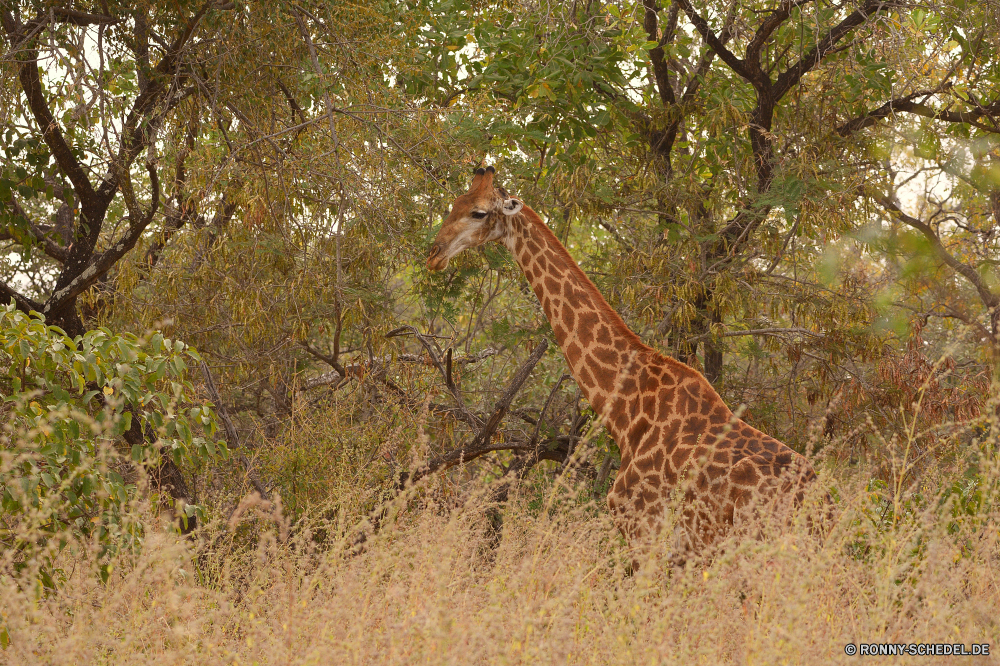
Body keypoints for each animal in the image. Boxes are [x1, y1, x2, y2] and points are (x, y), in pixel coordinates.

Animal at [426, 166, 816, 556]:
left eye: (478, 212)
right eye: (455, 203)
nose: (434, 253)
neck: (628, 410)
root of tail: (819, 503)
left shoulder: (644, 530)